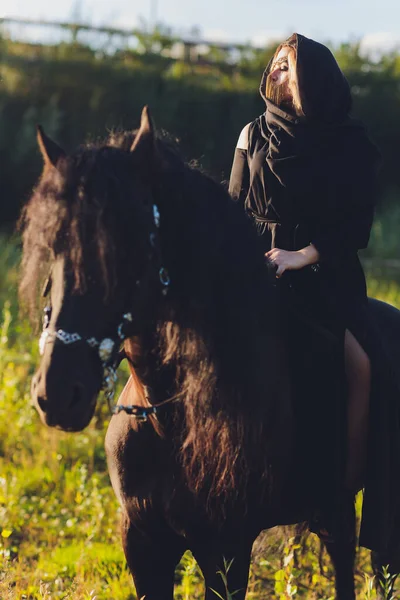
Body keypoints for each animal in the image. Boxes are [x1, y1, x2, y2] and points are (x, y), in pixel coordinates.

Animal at [20, 109, 400, 600]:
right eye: (54, 246)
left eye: (132, 248)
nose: (58, 392)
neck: (171, 421)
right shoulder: (142, 543)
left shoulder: (226, 549)